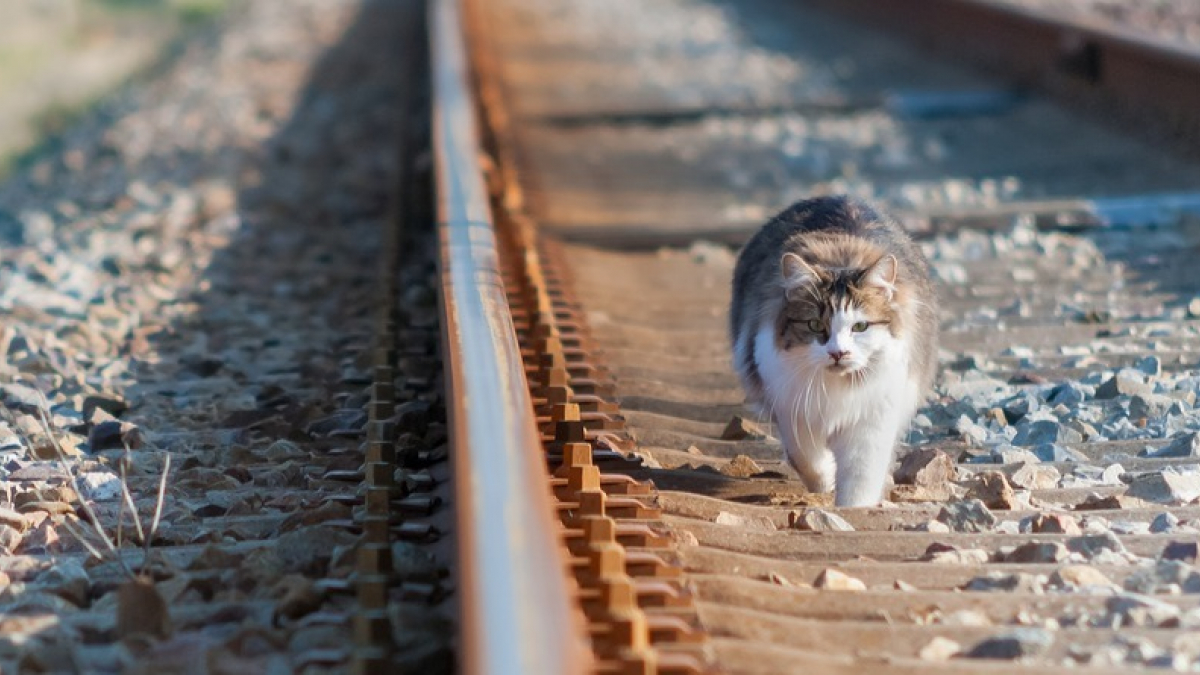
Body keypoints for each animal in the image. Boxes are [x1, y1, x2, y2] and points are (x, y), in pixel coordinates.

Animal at [724, 194, 940, 504]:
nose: (838, 353)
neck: (838, 388)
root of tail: (838, 196)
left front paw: (852, 509)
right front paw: (825, 482)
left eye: (860, 327)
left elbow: (860, 479)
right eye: (815, 325)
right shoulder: (792, 411)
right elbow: (807, 459)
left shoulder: (871, 422)